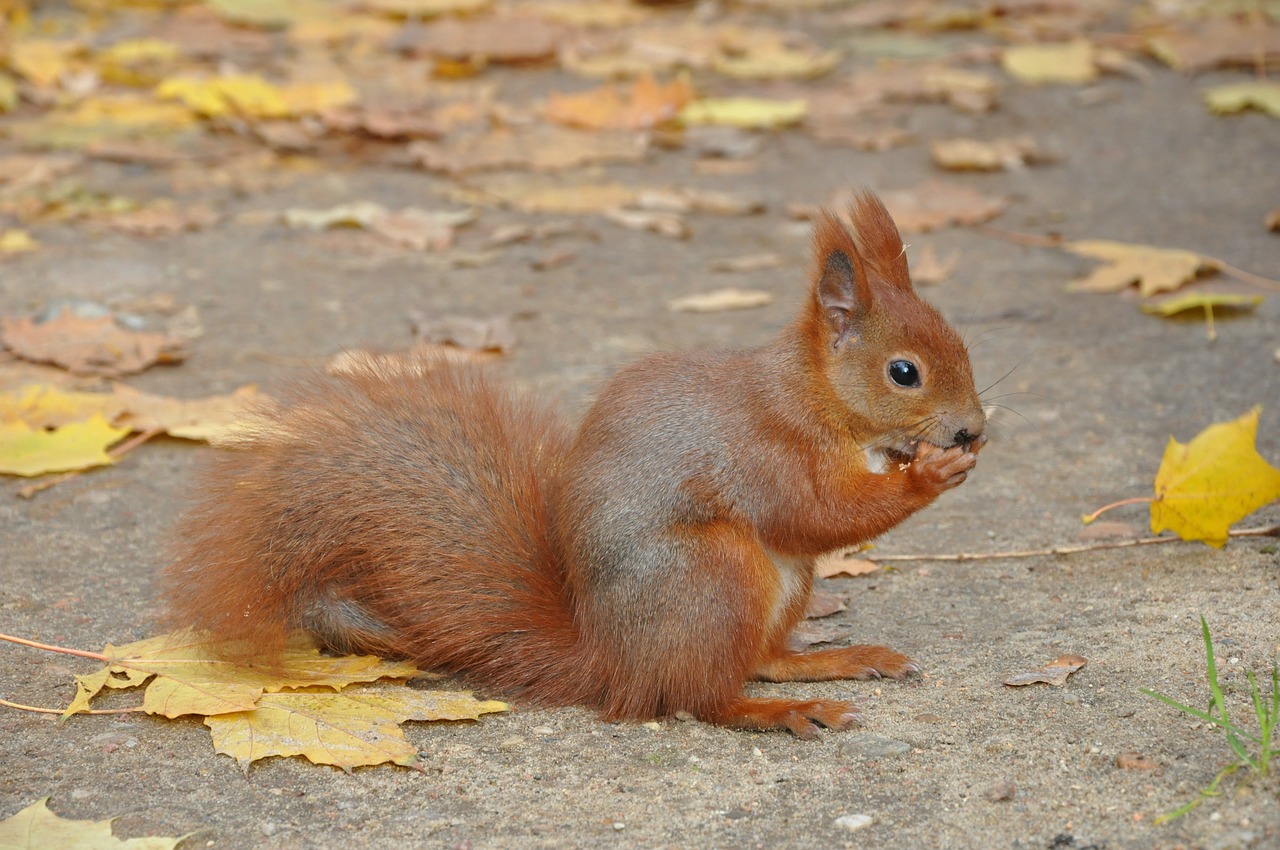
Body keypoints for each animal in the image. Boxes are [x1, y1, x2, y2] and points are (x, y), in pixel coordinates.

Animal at [165, 190, 983, 737]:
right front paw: (928, 474)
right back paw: (784, 709)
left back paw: (832, 661)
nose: (972, 430)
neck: (812, 395)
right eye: (904, 373)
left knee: (758, 659)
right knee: (706, 695)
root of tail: (614, 664)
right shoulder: (762, 450)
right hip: (711, 575)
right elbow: (819, 511)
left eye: (962, 345)